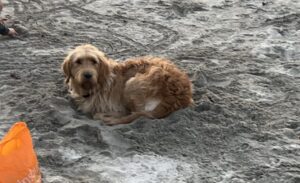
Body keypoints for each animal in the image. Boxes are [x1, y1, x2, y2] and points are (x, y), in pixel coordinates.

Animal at [61, 44, 193, 126]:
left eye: (94, 61)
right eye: (78, 61)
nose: (88, 75)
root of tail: (179, 95)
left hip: (132, 84)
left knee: (133, 115)